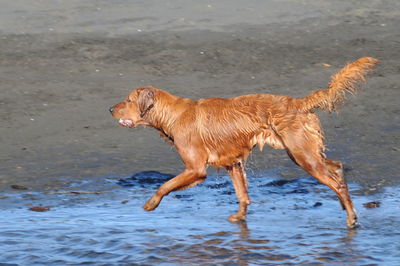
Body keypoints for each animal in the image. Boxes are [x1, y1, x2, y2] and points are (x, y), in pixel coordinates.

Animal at [109, 57, 378, 228]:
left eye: (128, 100)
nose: (110, 109)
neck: (173, 115)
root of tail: (300, 102)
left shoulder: (195, 169)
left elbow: (165, 185)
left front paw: (150, 204)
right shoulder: (233, 163)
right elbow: (242, 195)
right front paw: (239, 218)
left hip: (303, 156)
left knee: (336, 182)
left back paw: (351, 219)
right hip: (306, 153)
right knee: (337, 168)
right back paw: (346, 206)